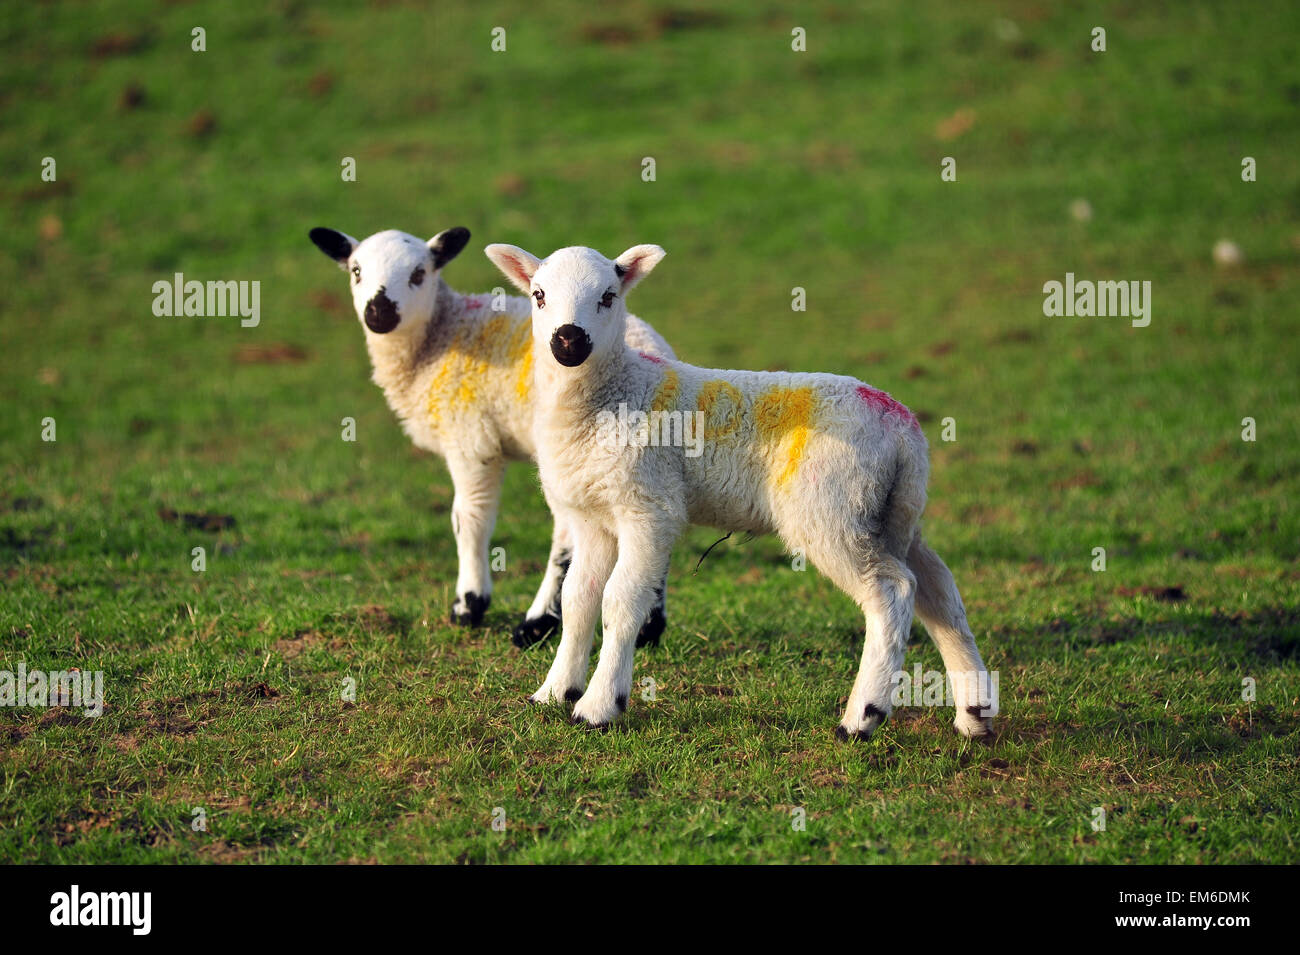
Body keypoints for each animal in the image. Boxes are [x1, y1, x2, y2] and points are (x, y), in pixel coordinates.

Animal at [302, 228, 670, 649]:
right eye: (356, 271)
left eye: (418, 274)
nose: (379, 312)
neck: (442, 334)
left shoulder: (471, 439)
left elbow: (469, 519)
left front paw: (469, 604)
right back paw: (650, 627)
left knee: (567, 533)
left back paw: (537, 623)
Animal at [486, 240, 993, 738]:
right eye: (539, 296)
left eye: (609, 297)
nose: (569, 340)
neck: (613, 393)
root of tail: (903, 428)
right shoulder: (592, 518)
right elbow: (578, 600)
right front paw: (554, 692)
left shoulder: (649, 508)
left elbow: (621, 601)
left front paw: (598, 706)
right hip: (891, 512)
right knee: (939, 593)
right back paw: (973, 714)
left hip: (832, 509)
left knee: (892, 590)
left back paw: (862, 717)